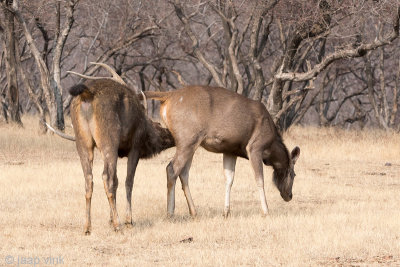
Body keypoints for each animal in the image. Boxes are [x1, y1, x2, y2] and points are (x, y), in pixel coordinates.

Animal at [47, 62, 175, 234]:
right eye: (159, 126)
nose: (173, 135)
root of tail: (86, 95)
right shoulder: (135, 147)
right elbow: (128, 181)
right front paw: (128, 220)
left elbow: (117, 181)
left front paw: (110, 218)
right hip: (109, 140)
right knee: (106, 177)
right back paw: (117, 225)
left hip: (83, 142)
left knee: (89, 179)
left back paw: (87, 227)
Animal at [141, 87, 300, 219]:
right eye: (293, 174)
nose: (289, 195)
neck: (271, 145)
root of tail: (168, 97)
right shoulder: (255, 147)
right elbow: (259, 180)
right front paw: (266, 211)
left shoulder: (230, 150)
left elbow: (229, 179)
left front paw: (226, 212)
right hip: (187, 138)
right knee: (172, 168)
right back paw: (170, 213)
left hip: (190, 142)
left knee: (184, 173)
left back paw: (194, 212)